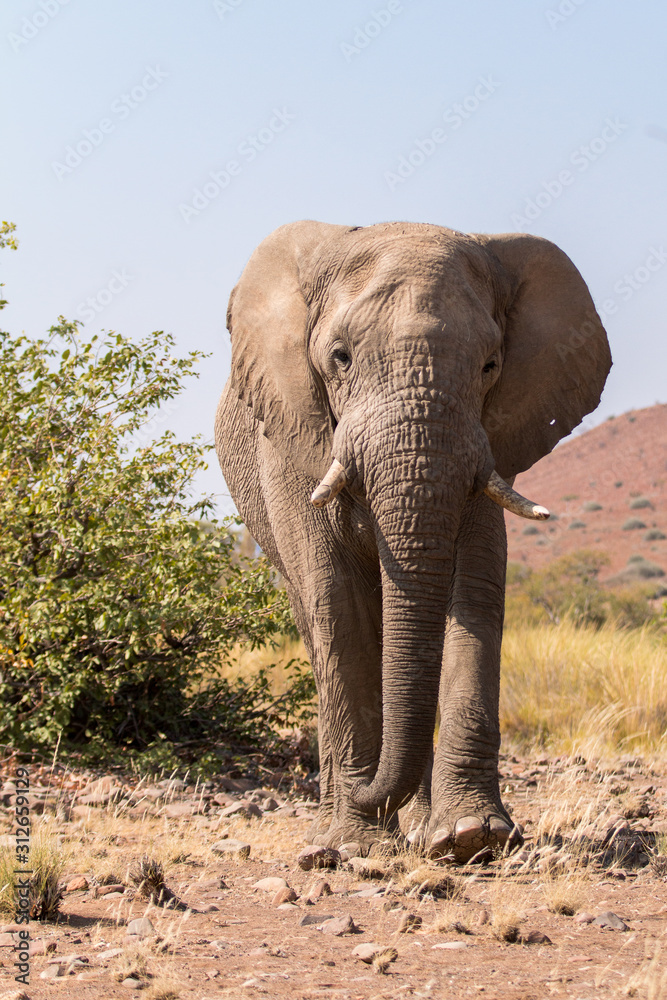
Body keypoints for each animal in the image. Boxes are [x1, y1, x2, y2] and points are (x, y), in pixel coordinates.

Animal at [215, 220, 611, 862]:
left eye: (490, 365)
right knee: (318, 625)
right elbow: (338, 601)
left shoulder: (488, 444)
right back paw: (333, 830)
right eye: (340, 358)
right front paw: (355, 844)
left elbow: (474, 590)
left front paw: (473, 836)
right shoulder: (293, 438)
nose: (367, 791)